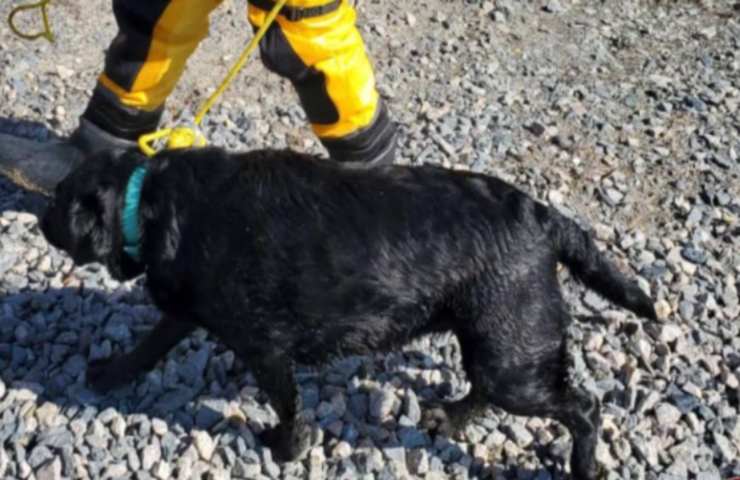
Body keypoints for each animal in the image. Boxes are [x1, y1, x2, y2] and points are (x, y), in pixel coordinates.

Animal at [42, 147, 652, 480]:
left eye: (57, 196)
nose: (40, 220)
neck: (148, 199)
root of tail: (544, 218)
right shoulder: (187, 309)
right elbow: (147, 347)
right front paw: (109, 373)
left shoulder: (264, 346)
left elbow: (288, 408)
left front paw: (285, 448)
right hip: (495, 346)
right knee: (482, 390)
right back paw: (450, 418)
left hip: (512, 357)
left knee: (585, 407)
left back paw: (582, 466)